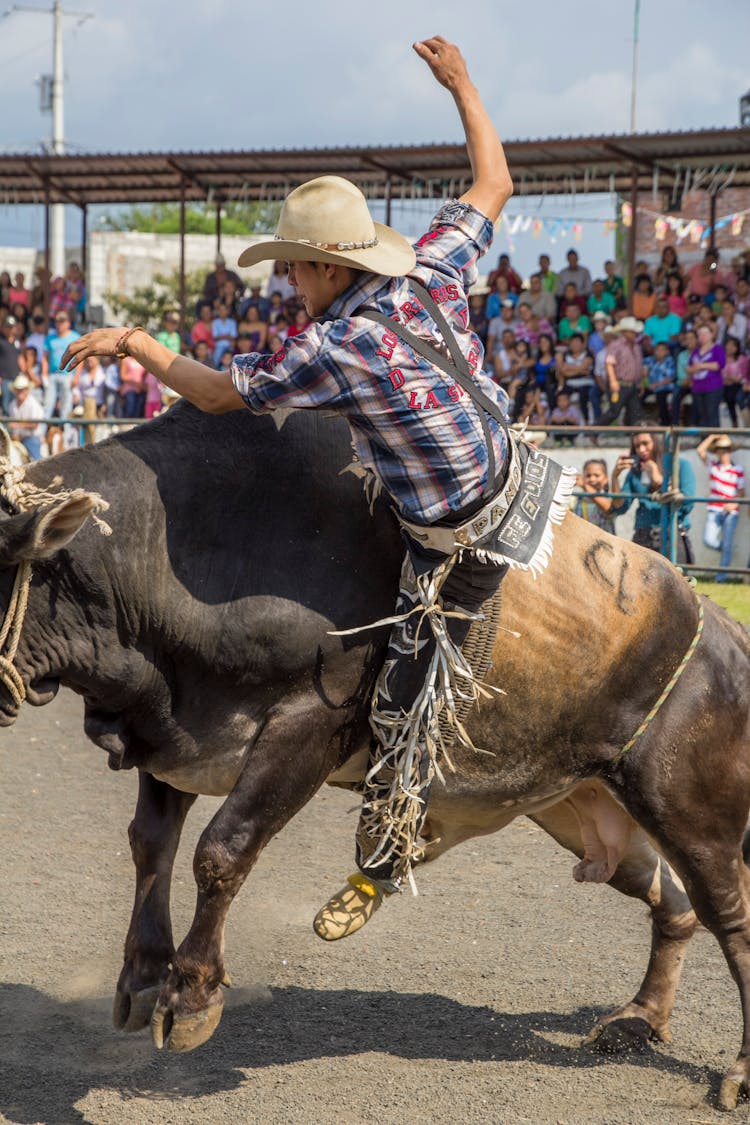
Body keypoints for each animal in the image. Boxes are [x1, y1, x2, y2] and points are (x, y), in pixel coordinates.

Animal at [2, 398, 750, 1107]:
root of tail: (717, 622)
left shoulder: (306, 726)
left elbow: (222, 849)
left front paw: (190, 996)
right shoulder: (175, 735)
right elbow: (151, 845)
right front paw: (141, 975)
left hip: (691, 808)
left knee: (728, 913)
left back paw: (736, 1069)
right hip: (581, 806)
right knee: (669, 899)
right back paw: (641, 1017)